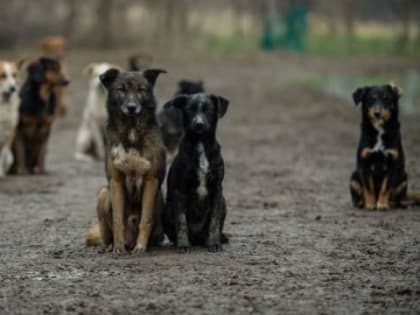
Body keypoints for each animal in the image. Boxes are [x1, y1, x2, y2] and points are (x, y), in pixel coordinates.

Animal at [85, 68, 167, 254]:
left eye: (141, 89)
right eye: (121, 89)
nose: (131, 107)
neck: (131, 130)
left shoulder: (151, 181)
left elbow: (145, 219)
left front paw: (141, 247)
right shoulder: (116, 181)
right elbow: (117, 219)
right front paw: (118, 247)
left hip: (160, 197)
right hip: (104, 192)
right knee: (105, 235)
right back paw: (109, 246)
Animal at [164, 92, 230, 253]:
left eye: (208, 110)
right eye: (189, 110)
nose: (198, 124)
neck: (200, 143)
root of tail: (197, 238)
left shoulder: (217, 190)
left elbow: (214, 221)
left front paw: (214, 243)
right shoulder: (180, 191)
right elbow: (181, 222)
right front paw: (182, 245)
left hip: (224, 202)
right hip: (168, 208)